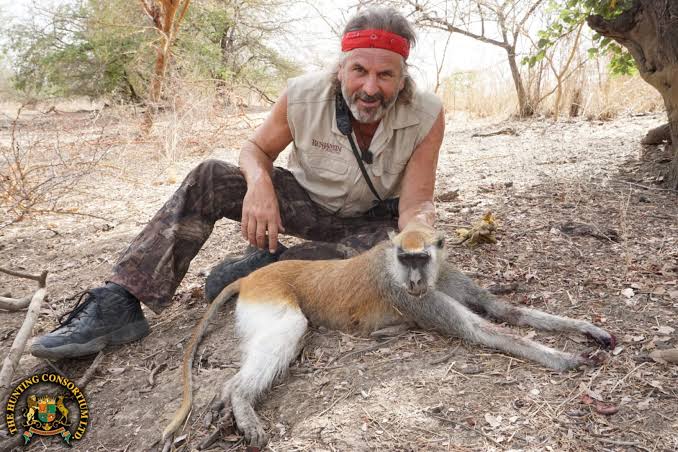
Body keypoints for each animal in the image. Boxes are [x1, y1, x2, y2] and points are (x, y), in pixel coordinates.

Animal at [162, 222, 615, 446]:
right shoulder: (406, 294)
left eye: (421, 258)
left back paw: (227, 399)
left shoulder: (441, 275)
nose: (414, 279)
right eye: (404, 258)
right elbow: (483, 329)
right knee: (290, 328)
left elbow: (501, 310)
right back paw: (239, 398)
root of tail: (253, 276)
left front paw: (587, 330)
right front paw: (565, 358)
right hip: (268, 296)